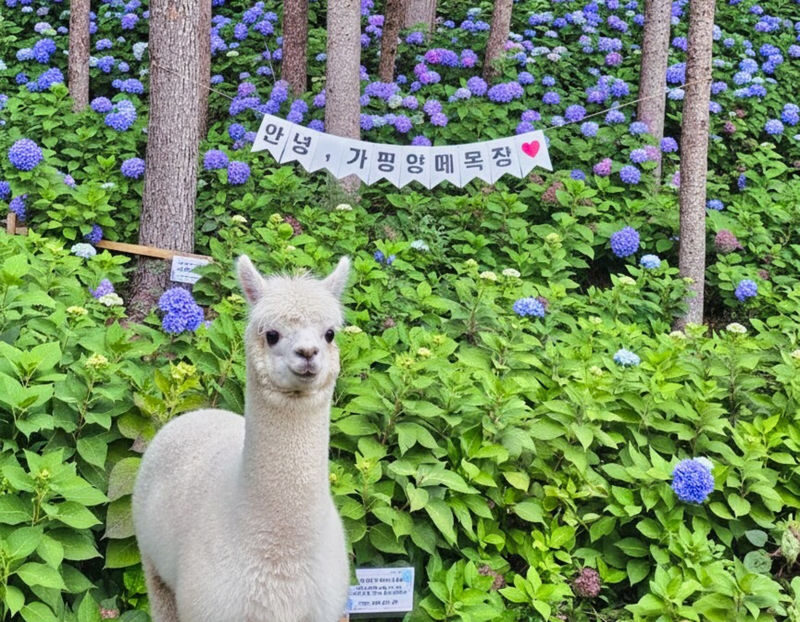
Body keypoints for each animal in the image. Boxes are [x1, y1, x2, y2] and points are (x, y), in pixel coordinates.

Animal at [132, 255, 352, 622]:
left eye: (330, 334)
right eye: (272, 334)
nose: (308, 353)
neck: (282, 560)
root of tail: (199, 414)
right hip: (152, 562)